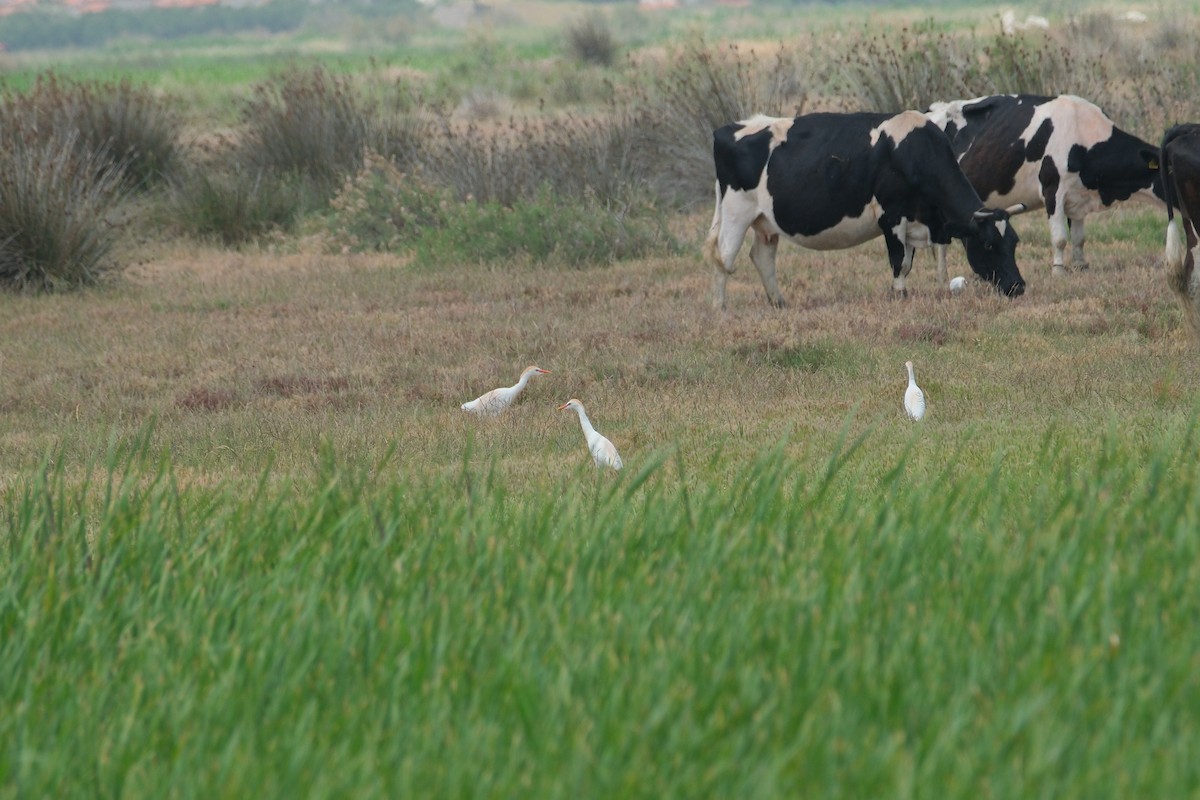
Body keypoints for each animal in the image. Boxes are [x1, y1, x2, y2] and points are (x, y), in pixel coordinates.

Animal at [704, 110, 1025, 310]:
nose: (1019, 286)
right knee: (724, 257)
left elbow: (908, 261)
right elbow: (900, 262)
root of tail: (727, 129)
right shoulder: (892, 216)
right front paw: (900, 295)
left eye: (1014, 243)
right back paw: (721, 307)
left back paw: (779, 302)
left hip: (765, 220)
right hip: (736, 211)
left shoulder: (912, 220)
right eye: (988, 244)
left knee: (762, 257)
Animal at [925, 94, 1165, 280]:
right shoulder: (1053, 190)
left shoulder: (1078, 197)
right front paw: (1058, 271)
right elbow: (1060, 238)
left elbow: (1079, 238)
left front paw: (1081, 266)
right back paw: (942, 275)